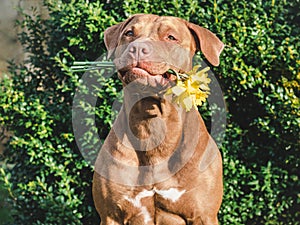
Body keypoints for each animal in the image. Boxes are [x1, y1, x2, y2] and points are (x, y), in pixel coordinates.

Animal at [92, 14, 224, 225]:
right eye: (129, 33)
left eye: (171, 37)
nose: (137, 48)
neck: (151, 124)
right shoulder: (111, 215)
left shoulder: (204, 215)